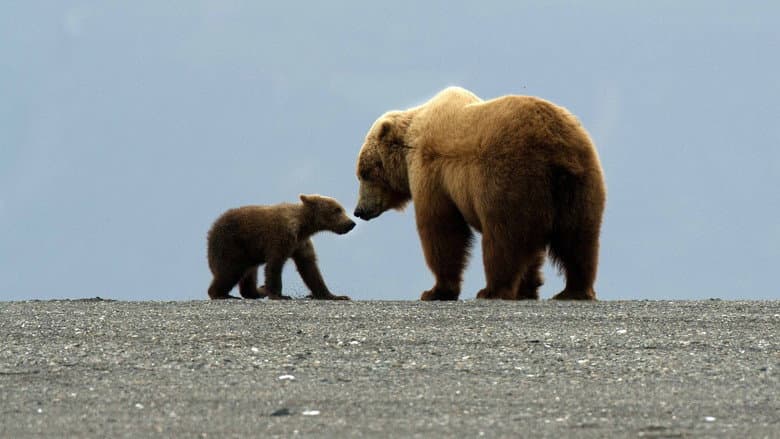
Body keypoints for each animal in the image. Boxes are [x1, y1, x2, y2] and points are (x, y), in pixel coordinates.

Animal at [207, 194, 356, 300]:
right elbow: (275, 264)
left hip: (248, 253)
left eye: (341, 208)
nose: (351, 223)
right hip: (232, 245)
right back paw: (220, 294)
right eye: (337, 210)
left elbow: (310, 268)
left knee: (249, 275)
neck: (303, 226)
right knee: (230, 270)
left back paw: (258, 291)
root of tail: (212, 228)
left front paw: (335, 295)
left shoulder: (301, 243)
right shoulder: (281, 236)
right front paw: (279, 295)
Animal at [353, 86, 606, 301]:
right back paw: (574, 290)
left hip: (509, 180)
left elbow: (442, 230)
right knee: (579, 240)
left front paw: (436, 291)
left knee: (503, 240)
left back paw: (491, 290)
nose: (359, 210)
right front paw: (528, 287)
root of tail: (557, 149)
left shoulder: (433, 172)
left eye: (364, 173)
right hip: (580, 184)